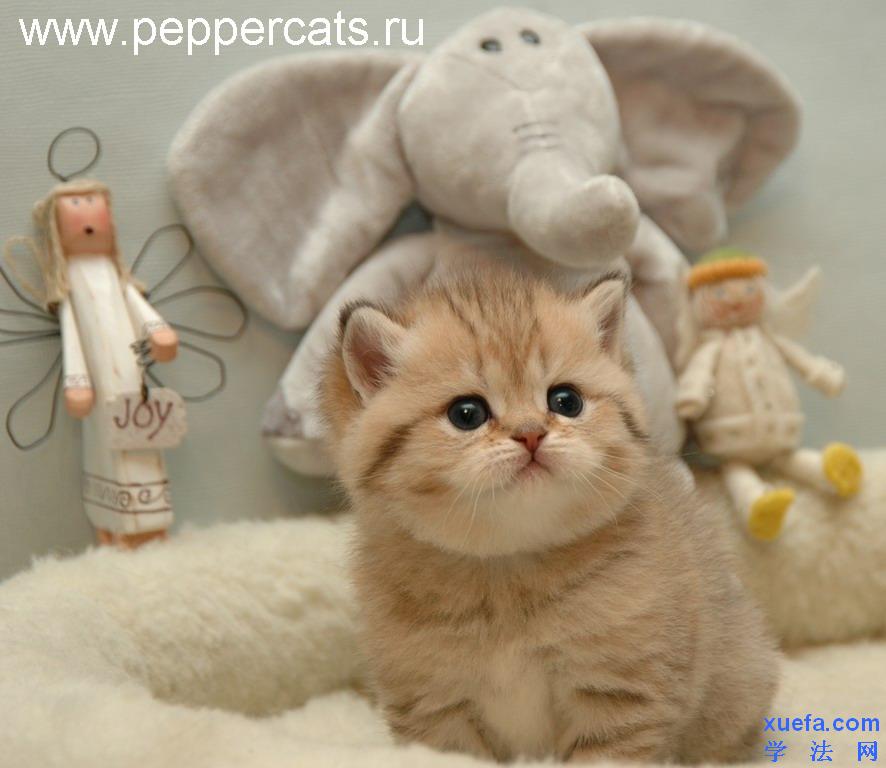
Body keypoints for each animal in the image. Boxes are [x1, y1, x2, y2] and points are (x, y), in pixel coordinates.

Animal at [321, 263, 777, 764]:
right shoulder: (435, 709)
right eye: (467, 413)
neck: (505, 571)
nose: (531, 434)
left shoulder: (622, 700)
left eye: (566, 401)